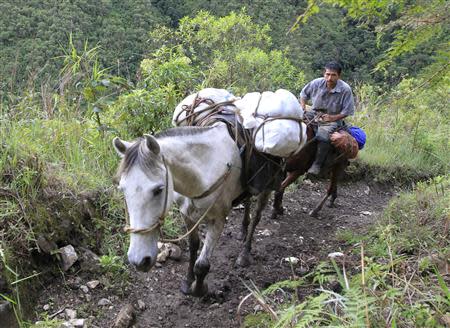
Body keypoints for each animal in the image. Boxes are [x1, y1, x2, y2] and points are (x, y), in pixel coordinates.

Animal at [112, 124, 274, 296]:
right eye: (122, 189)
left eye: (158, 190)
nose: (139, 261)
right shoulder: (187, 215)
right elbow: (193, 246)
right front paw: (188, 281)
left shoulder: (218, 219)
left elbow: (202, 264)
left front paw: (199, 290)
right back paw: (243, 230)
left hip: (267, 187)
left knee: (257, 217)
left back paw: (245, 253)